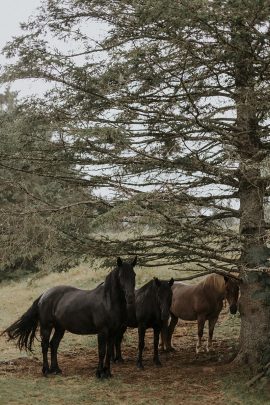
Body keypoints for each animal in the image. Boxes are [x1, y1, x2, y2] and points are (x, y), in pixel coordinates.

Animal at [2, 258, 137, 378]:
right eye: (121, 276)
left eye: (134, 275)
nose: (131, 298)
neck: (107, 302)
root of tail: (44, 295)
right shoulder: (102, 332)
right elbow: (102, 352)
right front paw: (99, 373)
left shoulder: (113, 332)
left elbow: (109, 352)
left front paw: (108, 373)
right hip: (46, 326)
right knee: (45, 345)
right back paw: (46, 371)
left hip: (60, 328)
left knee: (54, 344)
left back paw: (56, 370)